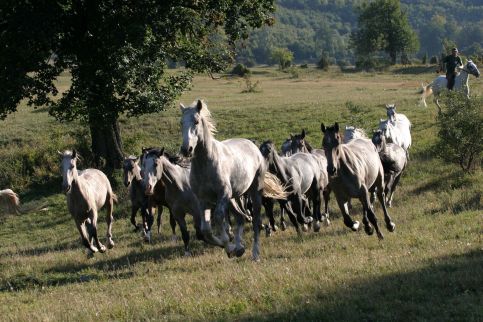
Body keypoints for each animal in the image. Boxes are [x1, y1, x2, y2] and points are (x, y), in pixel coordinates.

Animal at [182, 100, 288, 262]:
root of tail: (253, 145)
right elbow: (206, 230)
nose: (186, 149)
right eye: (181, 122)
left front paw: (230, 246)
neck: (206, 164)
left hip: (253, 193)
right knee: (240, 217)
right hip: (232, 198)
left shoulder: (222, 196)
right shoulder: (202, 200)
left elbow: (219, 218)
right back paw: (239, 247)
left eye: (196, 121)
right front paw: (232, 249)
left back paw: (255, 253)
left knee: (255, 221)